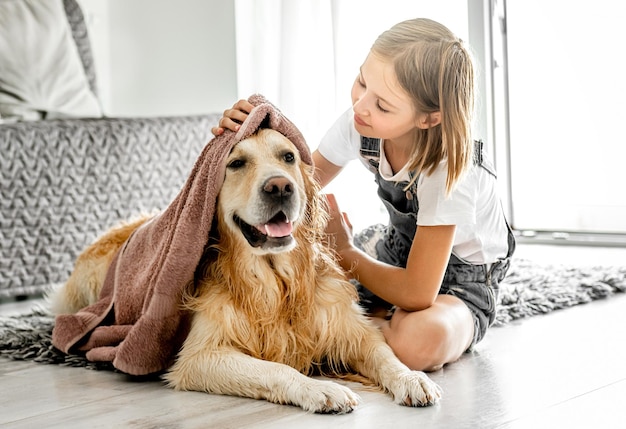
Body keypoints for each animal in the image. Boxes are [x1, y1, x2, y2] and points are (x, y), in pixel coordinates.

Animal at [50, 129, 438, 412]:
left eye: (288, 157)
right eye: (236, 163)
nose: (280, 186)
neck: (276, 281)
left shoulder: (350, 330)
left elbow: (385, 354)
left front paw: (411, 378)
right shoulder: (201, 356)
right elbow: (277, 367)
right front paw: (321, 389)